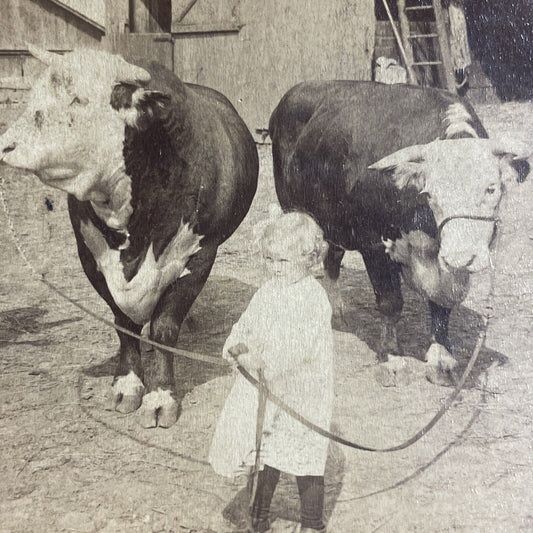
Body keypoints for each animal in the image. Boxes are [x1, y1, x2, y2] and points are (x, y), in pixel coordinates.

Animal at [0, 47, 258, 426]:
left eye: (79, 99)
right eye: (35, 91)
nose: (6, 145)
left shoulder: (201, 254)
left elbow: (165, 326)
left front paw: (162, 396)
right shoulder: (91, 257)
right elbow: (123, 324)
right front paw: (128, 384)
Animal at [270, 80, 528, 378]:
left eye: (491, 188)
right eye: (431, 193)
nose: (462, 256)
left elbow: (442, 304)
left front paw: (441, 357)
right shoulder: (374, 244)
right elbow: (391, 302)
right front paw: (392, 355)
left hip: (335, 218)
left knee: (332, 259)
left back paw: (336, 311)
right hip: (292, 207)